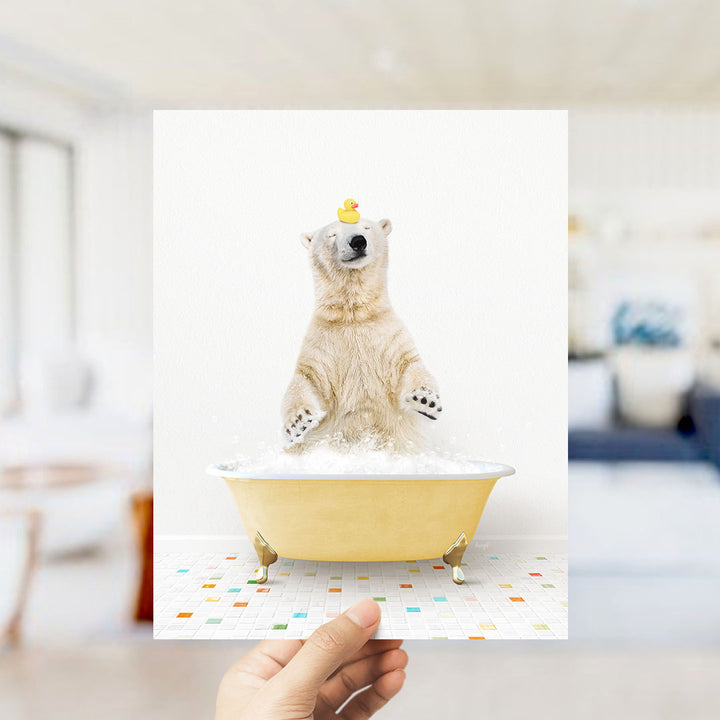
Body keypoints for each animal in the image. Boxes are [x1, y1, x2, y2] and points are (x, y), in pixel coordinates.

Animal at [281, 212, 442, 451]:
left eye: (366, 228)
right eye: (332, 234)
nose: (358, 241)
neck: (354, 314)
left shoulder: (388, 334)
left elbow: (410, 365)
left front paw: (424, 399)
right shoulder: (323, 342)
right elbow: (306, 379)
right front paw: (298, 422)